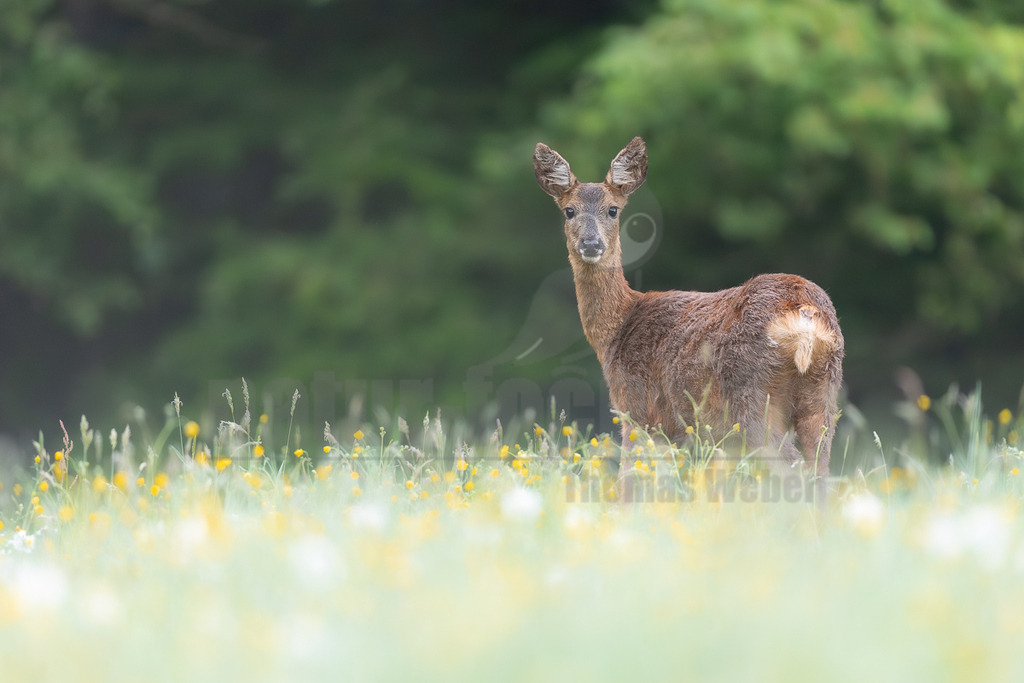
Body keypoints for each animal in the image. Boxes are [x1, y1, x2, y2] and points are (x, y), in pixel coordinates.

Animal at [533, 137, 844, 503]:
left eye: (613, 210)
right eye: (569, 210)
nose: (591, 243)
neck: (619, 327)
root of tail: (804, 315)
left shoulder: (635, 407)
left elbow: (629, 480)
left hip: (752, 397)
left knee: (792, 468)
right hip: (823, 395)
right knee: (819, 471)